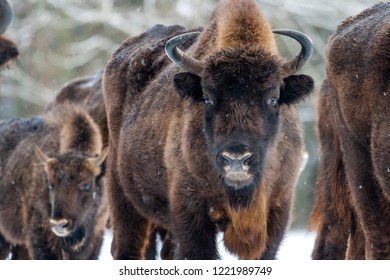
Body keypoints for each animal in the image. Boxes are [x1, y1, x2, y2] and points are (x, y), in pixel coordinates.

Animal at [103, 0, 314, 260]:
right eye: (207, 97)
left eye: (273, 98)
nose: (236, 159)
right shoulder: (191, 214)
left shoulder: (277, 210)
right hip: (123, 199)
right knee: (127, 246)